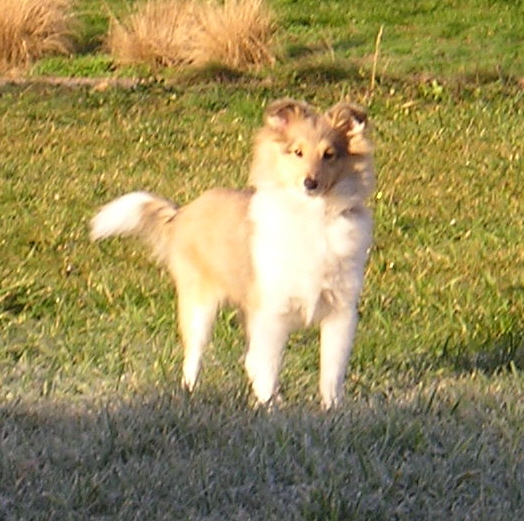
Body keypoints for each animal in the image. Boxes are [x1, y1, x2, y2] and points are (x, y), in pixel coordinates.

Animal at [90, 98, 374, 409]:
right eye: (297, 152)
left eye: (329, 154)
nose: (310, 183)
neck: (313, 216)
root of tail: (183, 212)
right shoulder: (271, 311)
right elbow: (269, 367)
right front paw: (269, 409)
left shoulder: (340, 312)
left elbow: (331, 374)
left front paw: (330, 410)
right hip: (199, 304)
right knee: (195, 355)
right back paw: (190, 393)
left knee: (250, 360)